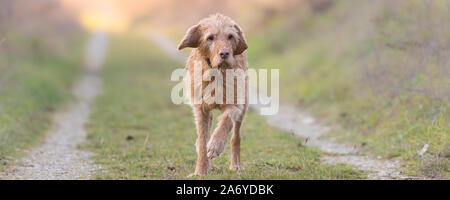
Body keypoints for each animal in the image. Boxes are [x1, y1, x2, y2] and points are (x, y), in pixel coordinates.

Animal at [178, 14, 250, 177]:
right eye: (210, 37)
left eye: (230, 36)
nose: (224, 53)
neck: (218, 71)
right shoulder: (201, 109)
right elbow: (202, 140)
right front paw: (200, 171)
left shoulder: (235, 103)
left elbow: (226, 120)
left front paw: (215, 145)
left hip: (244, 106)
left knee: (236, 137)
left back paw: (236, 164)